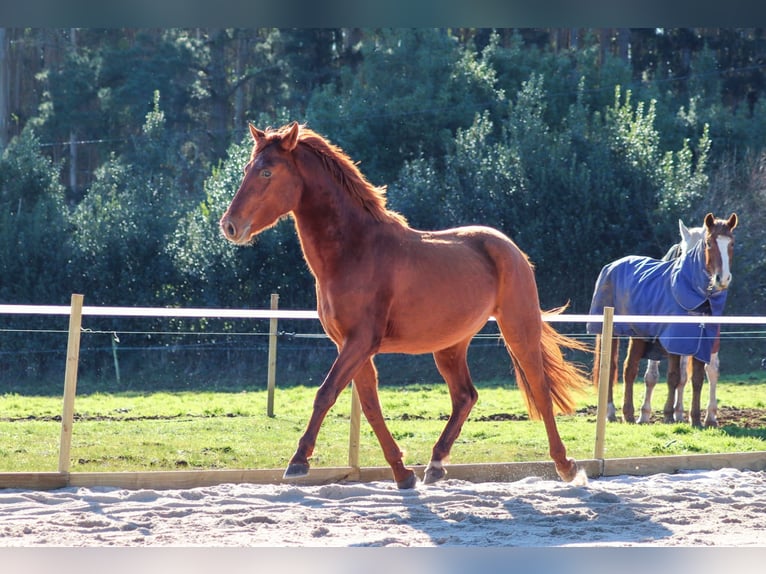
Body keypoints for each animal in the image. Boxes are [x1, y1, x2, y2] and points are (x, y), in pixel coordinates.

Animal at [219, 122, 592, 490]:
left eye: (267, 172)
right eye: (246, 169)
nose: (230, 225)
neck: (355, 250)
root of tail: (511, 249)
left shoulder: (360, 342)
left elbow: (326, 393)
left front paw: (298, 462)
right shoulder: (350, 345)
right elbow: (370, 405)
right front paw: (402, 473)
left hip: (518, 330)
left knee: (540, 390)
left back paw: (567, 466)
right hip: (450, 345)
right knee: (465, 396)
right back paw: (436, 465)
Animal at [588, 214, 736, 430]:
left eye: (731, 244)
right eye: (708, 244)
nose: (722, 279)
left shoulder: (701, 341)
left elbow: (697, 376)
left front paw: (694, 417)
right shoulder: (670, 340)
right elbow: (664, 377)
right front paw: (660, 414)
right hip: (616, 333)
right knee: (619, 368)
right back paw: (617, 412)